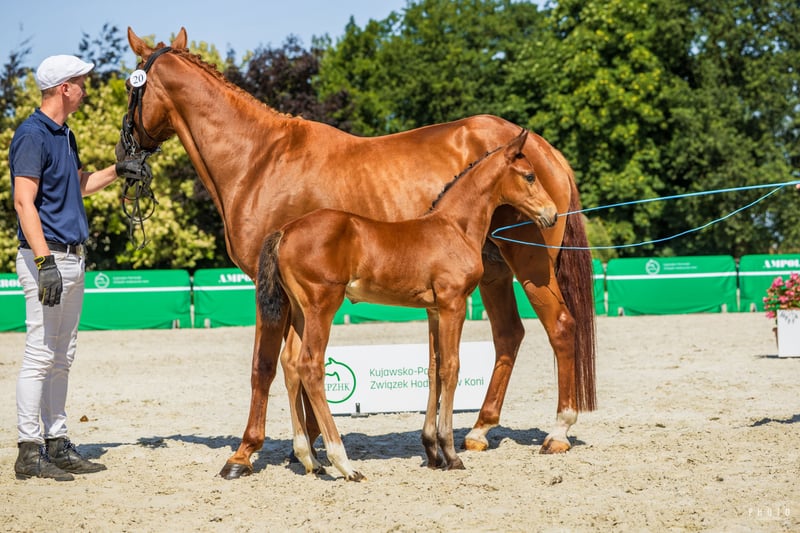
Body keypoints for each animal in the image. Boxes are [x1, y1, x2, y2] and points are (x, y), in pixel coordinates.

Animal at [258, 130, 556, 480]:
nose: (551, 214)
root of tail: (285, 231)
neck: (455, 228)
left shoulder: (433, 310)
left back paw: (309, 458)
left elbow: (433, 368)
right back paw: (344, 463)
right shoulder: (453, 304)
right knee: (310, 366)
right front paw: (451, 453)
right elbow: (451, 368)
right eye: (530, 175)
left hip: (300, 312)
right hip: (322, 307)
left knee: (290, 364)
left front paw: (432, 452)